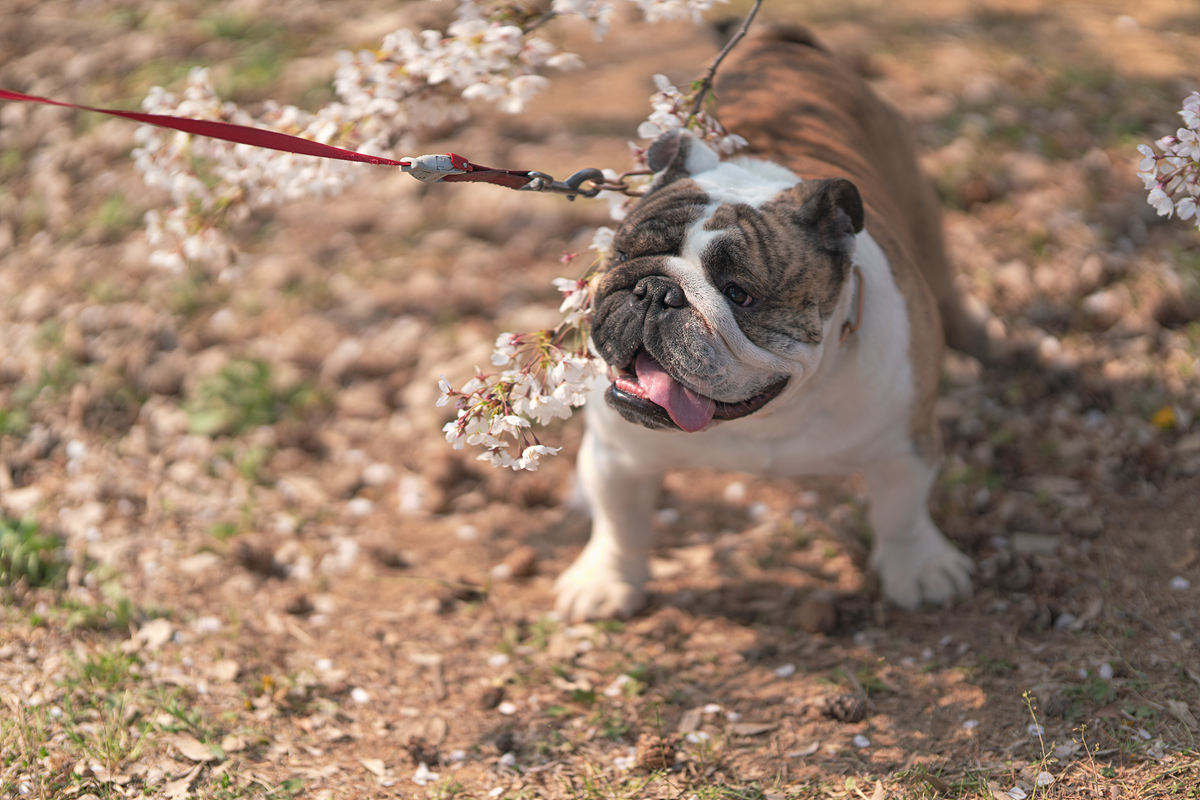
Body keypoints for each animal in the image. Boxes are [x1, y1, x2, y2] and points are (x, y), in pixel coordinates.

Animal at [552, 25, 984, 623]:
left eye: (740, 295)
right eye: (623, 256)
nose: (656, 291)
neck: (763, 417)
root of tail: (778, 39)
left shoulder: (906, 447)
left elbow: (900, 515)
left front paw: (919, 569)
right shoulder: (617, 455)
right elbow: (620, 524)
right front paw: (606, 580)